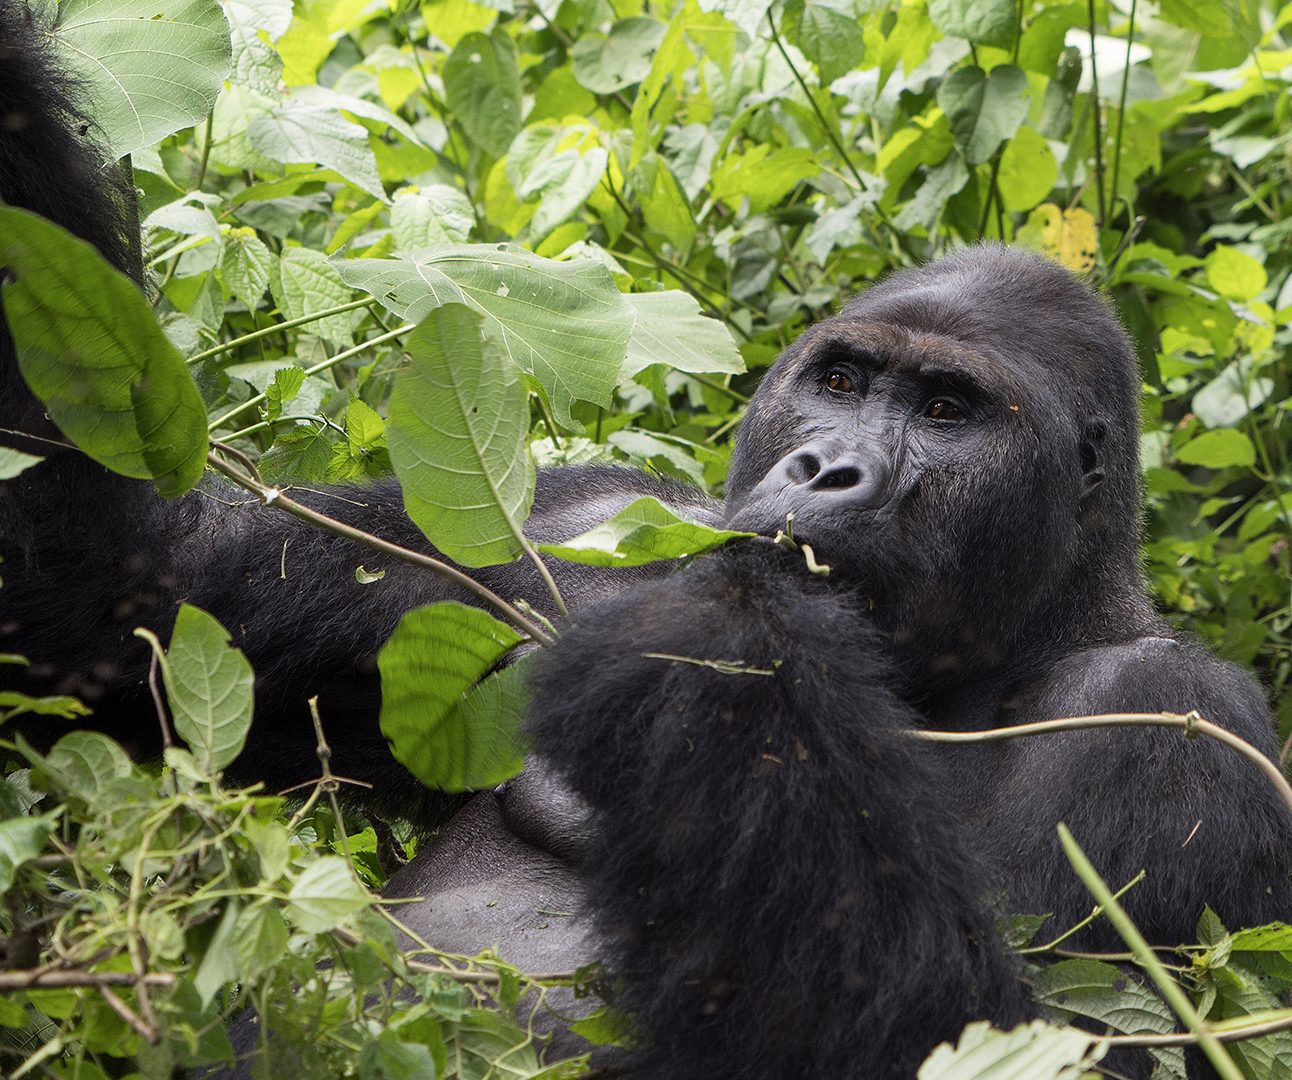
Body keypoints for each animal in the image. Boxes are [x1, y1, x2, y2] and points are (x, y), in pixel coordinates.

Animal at [0, 6, 1286, 1069]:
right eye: (839, 379)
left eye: (944, 411)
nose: (824, 469)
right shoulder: (549, 537)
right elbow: (111, 618)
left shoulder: (1177, 724)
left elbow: (1017, 1033)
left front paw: (715, 658)